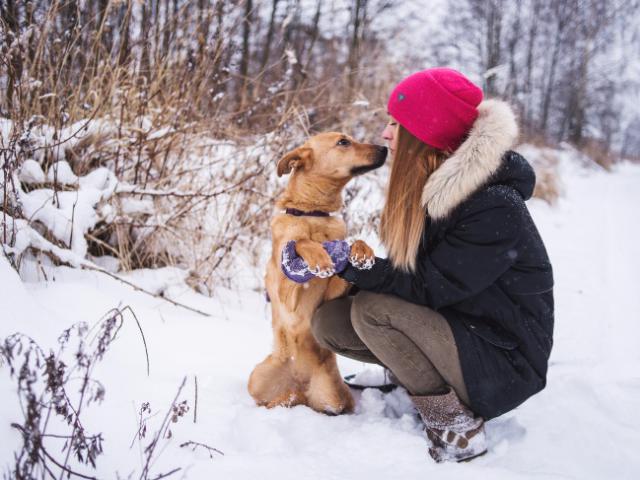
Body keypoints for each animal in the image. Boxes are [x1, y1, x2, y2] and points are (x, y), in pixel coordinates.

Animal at [248, 133, 388, 414]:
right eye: (343, 142)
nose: (385, 148)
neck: (314, 214)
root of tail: (300, 384)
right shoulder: (285, 290)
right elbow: (301, 242)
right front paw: (319, 257)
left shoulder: (331, 293)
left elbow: (351, 242)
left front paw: (361, 253)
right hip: (257, 378)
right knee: (271, 400)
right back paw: (280, 401)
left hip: (333, 397)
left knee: (313, 402)